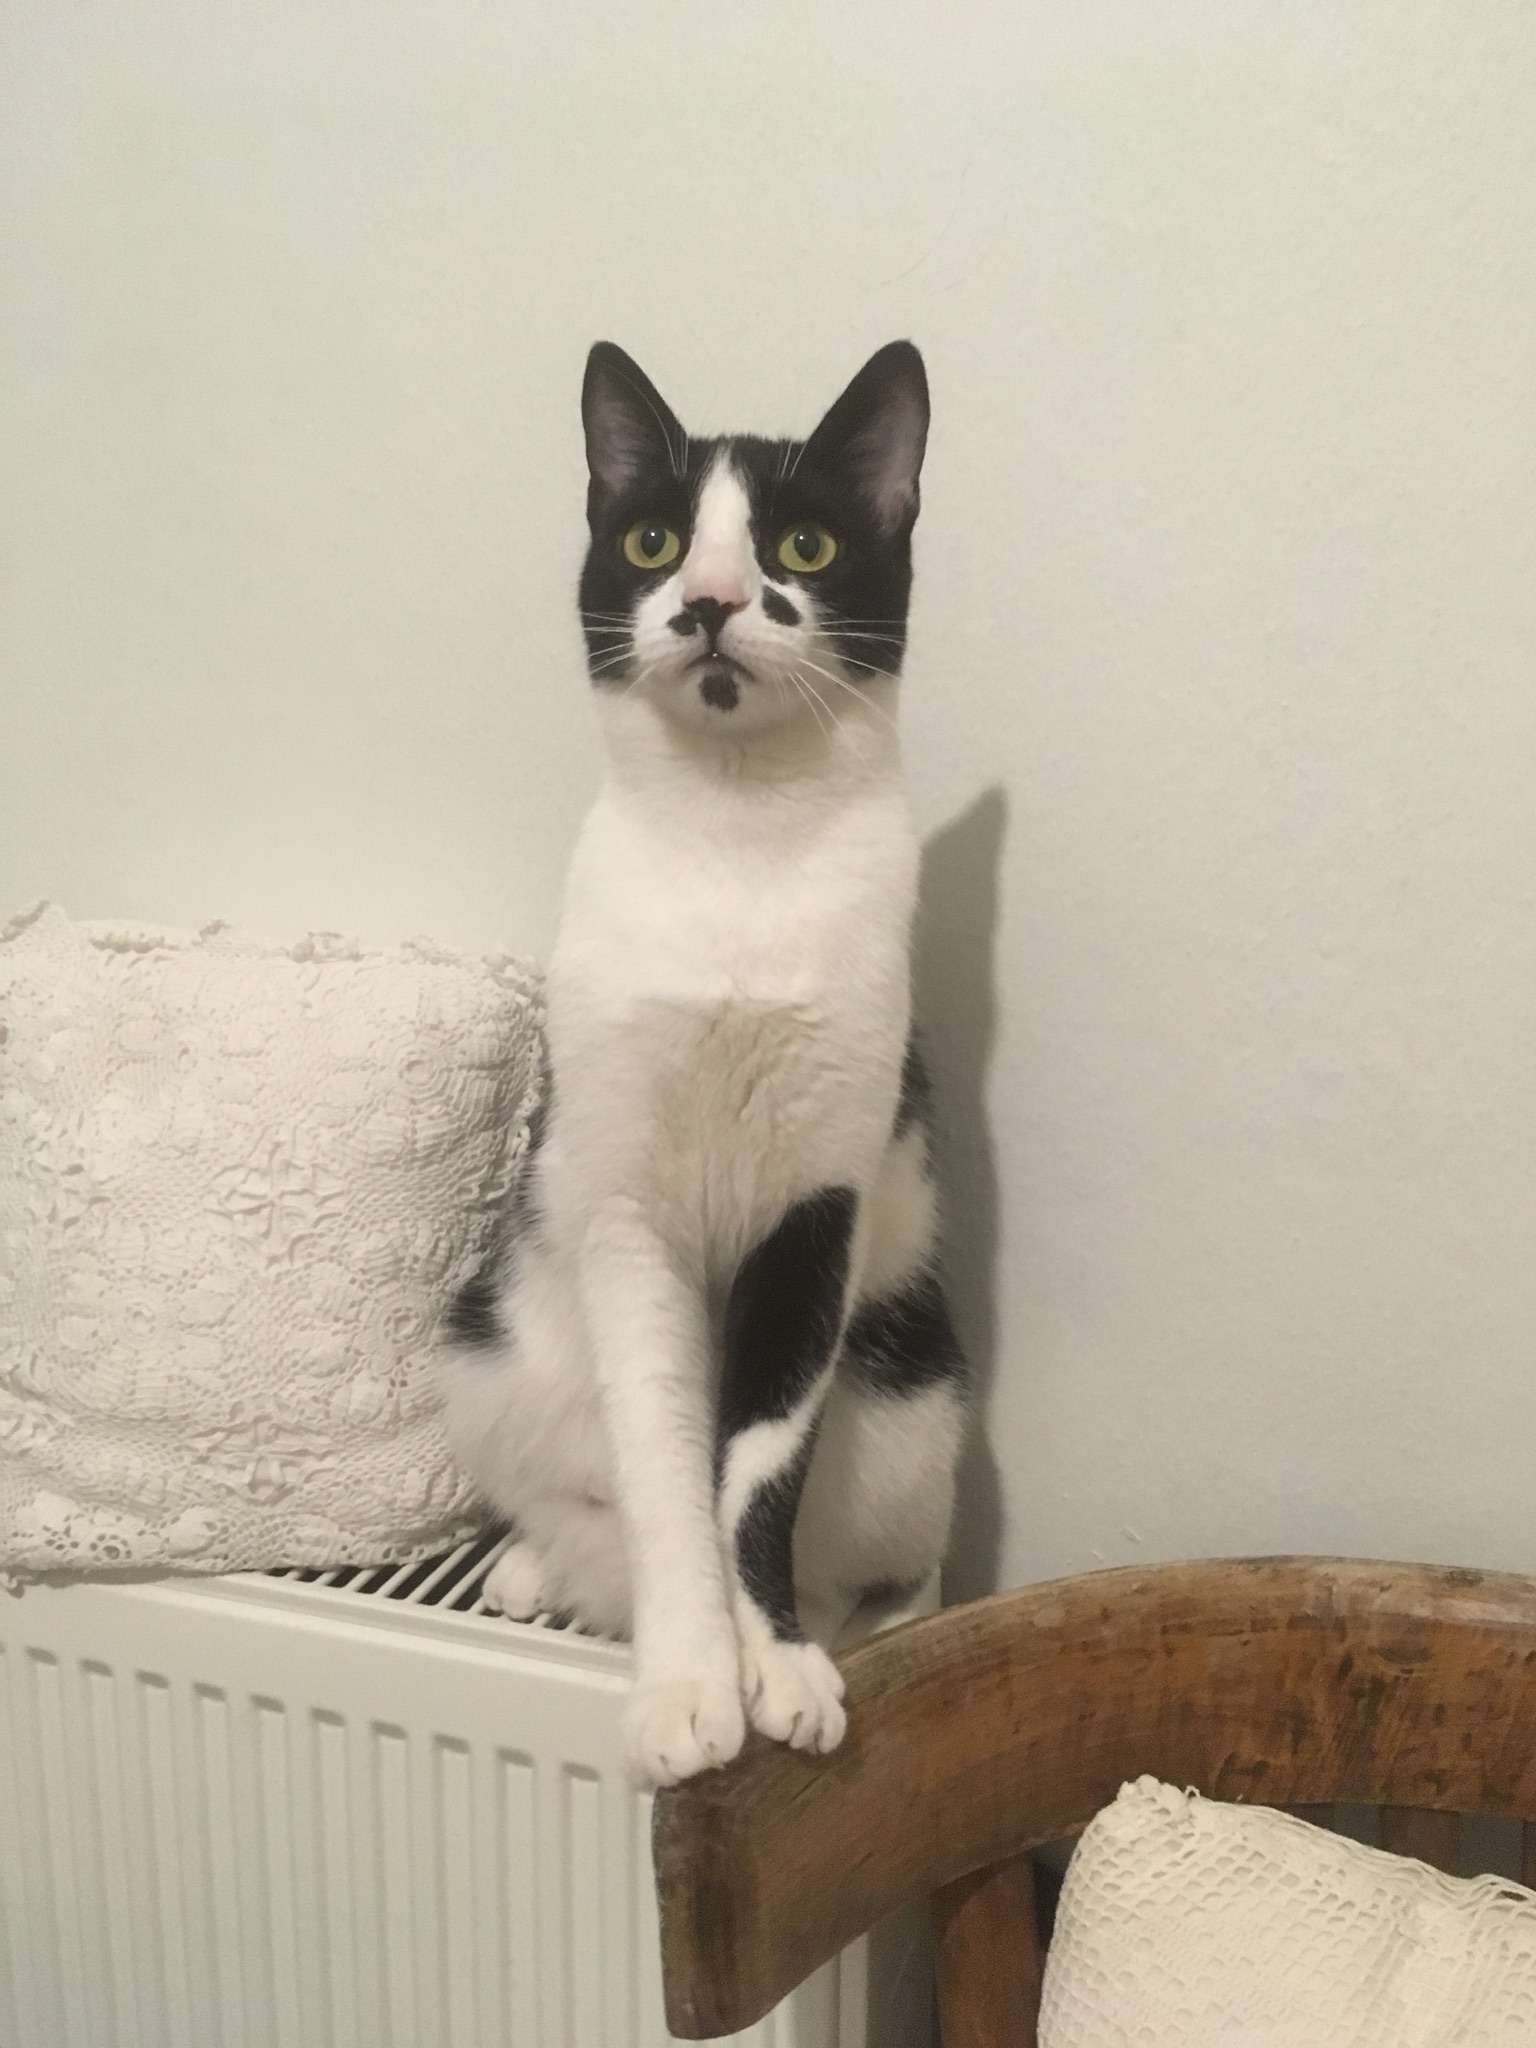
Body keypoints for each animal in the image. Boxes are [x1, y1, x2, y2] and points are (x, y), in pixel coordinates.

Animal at [439, 339, 968, 1787]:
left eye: (804, 542)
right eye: (655, 539)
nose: (716, 602)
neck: (739, 841)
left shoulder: (819, 1215)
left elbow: (760, 1472)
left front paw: (773, 1661)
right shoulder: (626, 1218)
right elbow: (673, 1464)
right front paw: (689, 1682)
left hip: (914, 1400)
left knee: (893, 1557)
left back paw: (857, 1623)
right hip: (486, 1346)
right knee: (582, 1498)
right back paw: (538, 1569)